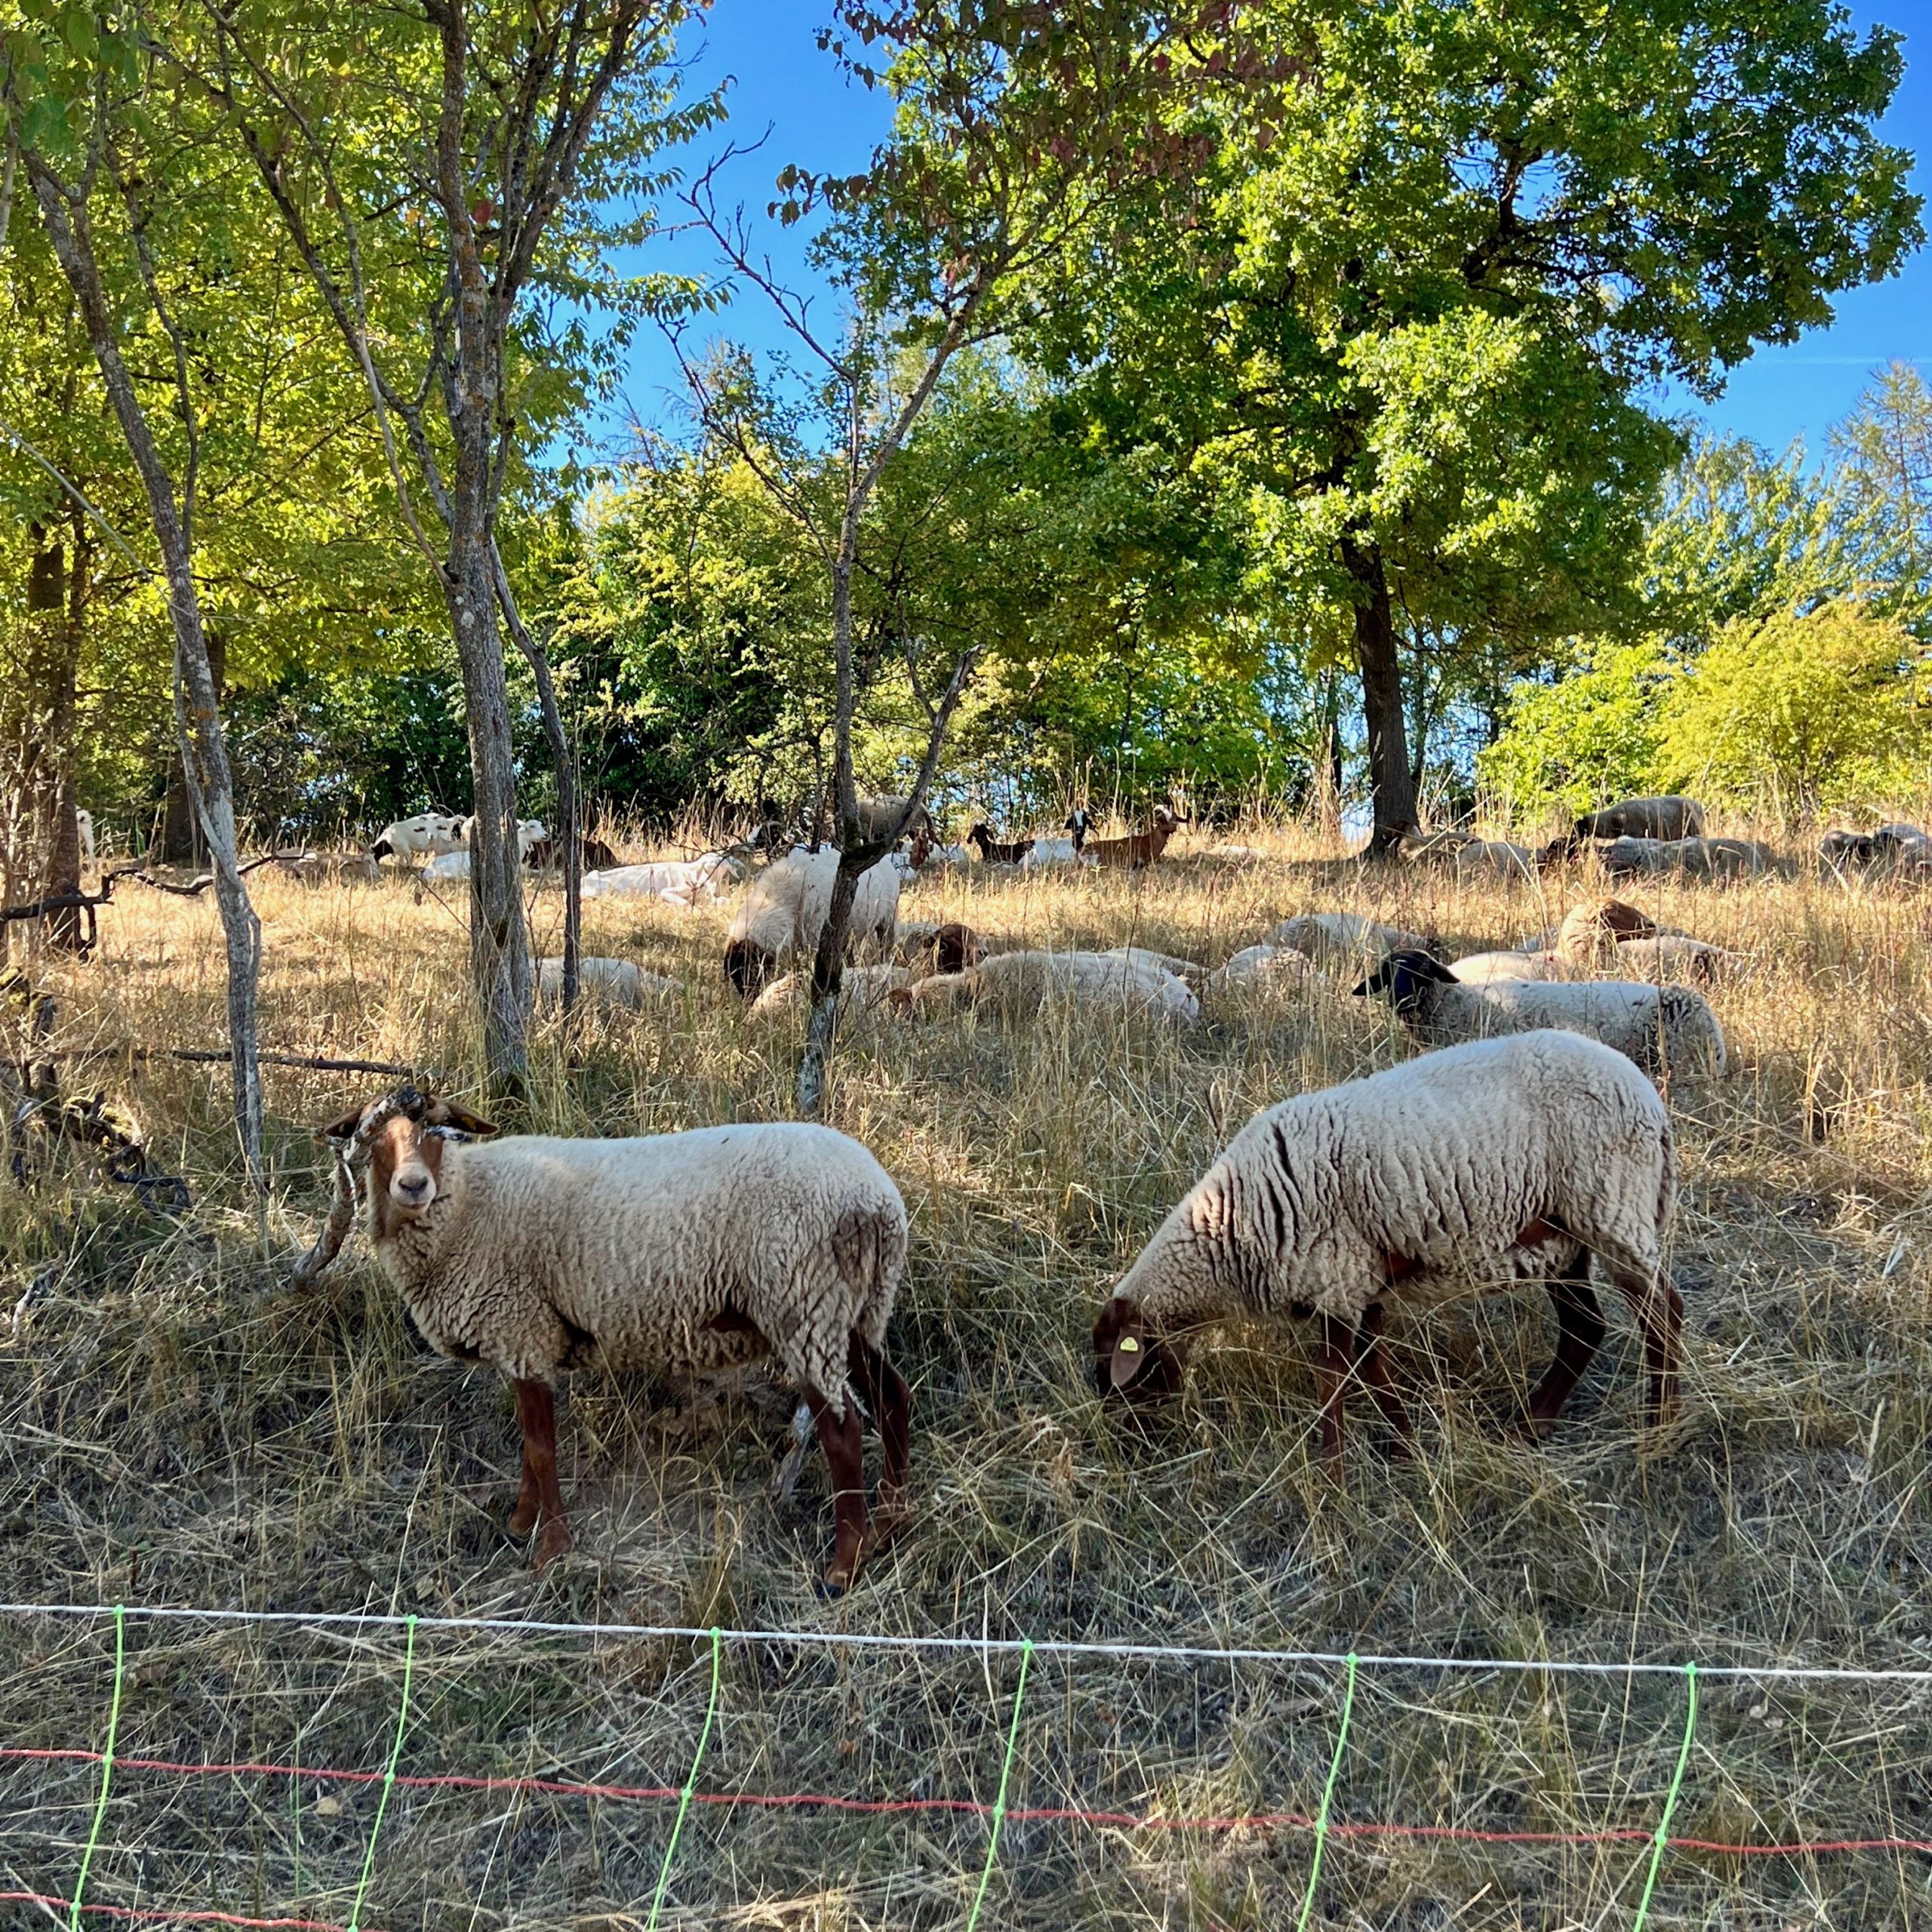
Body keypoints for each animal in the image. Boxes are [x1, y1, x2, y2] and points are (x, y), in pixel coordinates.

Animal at [303, 1087, 911, 1592]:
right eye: (374, 1137)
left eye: (438, 1131)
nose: (413, 1186)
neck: (469, 1201)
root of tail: (878, 1199)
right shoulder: (520, 1338)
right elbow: (527, 1443)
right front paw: (521, 1522)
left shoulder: (522, 1328)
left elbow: (541, 1448)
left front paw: (551, 1549)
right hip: (856, 1310)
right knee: (893, 1398)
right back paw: (889, 1523)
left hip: (803, 1305)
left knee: (843, 1431)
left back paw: (843, 1566)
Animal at [724, 846, 901, 998]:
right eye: (734, 974)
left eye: (752, 967)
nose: (748, 999)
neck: (777, 899)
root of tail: (887, 861)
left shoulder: (815, 938)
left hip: (888, 920)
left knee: (886, 946)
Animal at [1093, 1030, 1683, 1473]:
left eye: (1120, 1368)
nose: (1123, 1442)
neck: (1232, 1227)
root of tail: (1651, 1102)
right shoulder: (1361, 1283)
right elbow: (1373, 1370)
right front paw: (1404, 1449)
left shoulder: (1336, 1279)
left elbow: (1335, 1380)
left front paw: (1332, 1476)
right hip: (1559, 1238)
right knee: (1585, 1327)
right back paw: (1529, 1427)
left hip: (1611, 1209)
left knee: (1663, 1312)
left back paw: (1660, 1430)